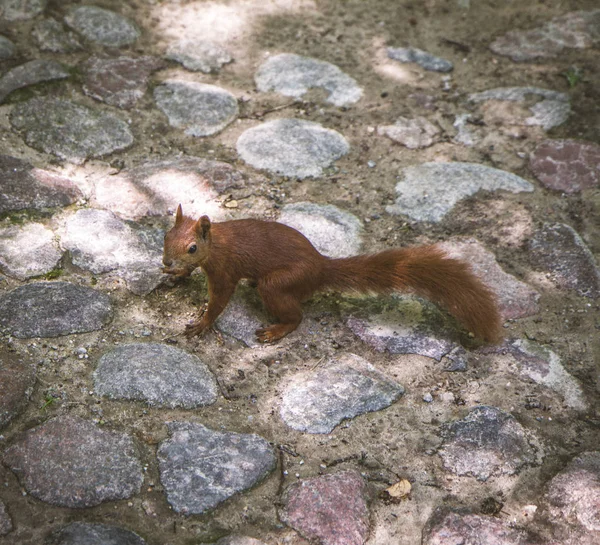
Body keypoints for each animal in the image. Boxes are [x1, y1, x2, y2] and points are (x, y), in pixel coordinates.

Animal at [163, 206, 502, 342]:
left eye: (192, 247)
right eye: (165, 235)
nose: (166, 262)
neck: (216, 243)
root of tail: (320, 267)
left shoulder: (224, 270)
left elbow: (219, 300)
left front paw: (202, 323)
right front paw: (177, 276)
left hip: (277, 284)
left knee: (296, 316)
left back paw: (276, 330)